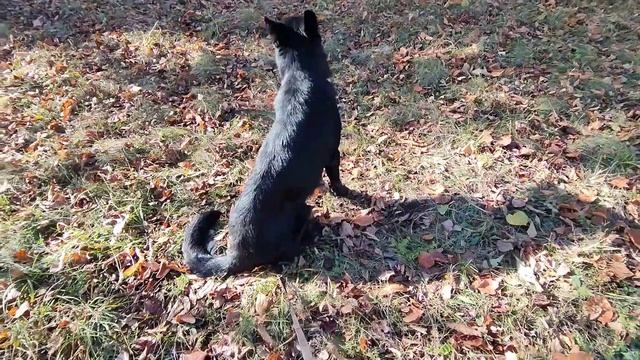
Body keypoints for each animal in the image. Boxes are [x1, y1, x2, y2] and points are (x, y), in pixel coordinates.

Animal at [180, 10, 350, 276]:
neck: (302, 76)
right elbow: (336, 178)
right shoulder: (333, 154)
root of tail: (237, 255)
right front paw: (343, 191)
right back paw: (314, 232)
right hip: (303, 210)